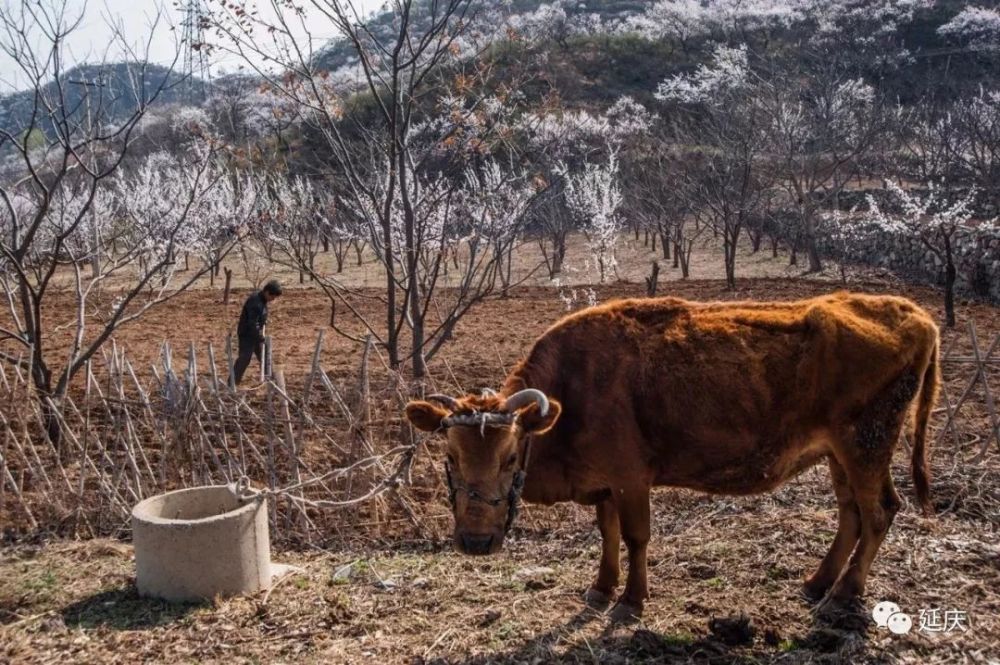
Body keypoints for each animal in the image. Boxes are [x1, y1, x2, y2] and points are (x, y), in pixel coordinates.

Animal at [404, 294, 936, 620]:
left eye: (512, 456)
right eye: (449, 456)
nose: (475, 542)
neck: (572, 394)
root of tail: (912, 313)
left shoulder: (631, 479)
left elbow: (636, 537)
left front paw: (632, 600)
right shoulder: (604, 485)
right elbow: (608, 534)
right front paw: (602, 588)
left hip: (865, 448)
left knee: (877, 512)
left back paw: (844, 592)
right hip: (838, 455)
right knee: (851, 514)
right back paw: (818, 582)